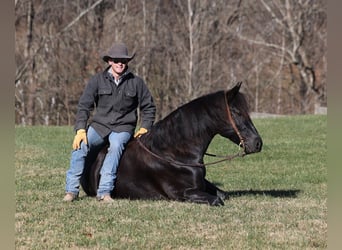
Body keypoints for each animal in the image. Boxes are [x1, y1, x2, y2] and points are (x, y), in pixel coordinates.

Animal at [80, 82, 262, 205]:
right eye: (237, 112)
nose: (257, 143)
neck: (174, 154)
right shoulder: (180, 193)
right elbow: (217, 200)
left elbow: (222, 194)